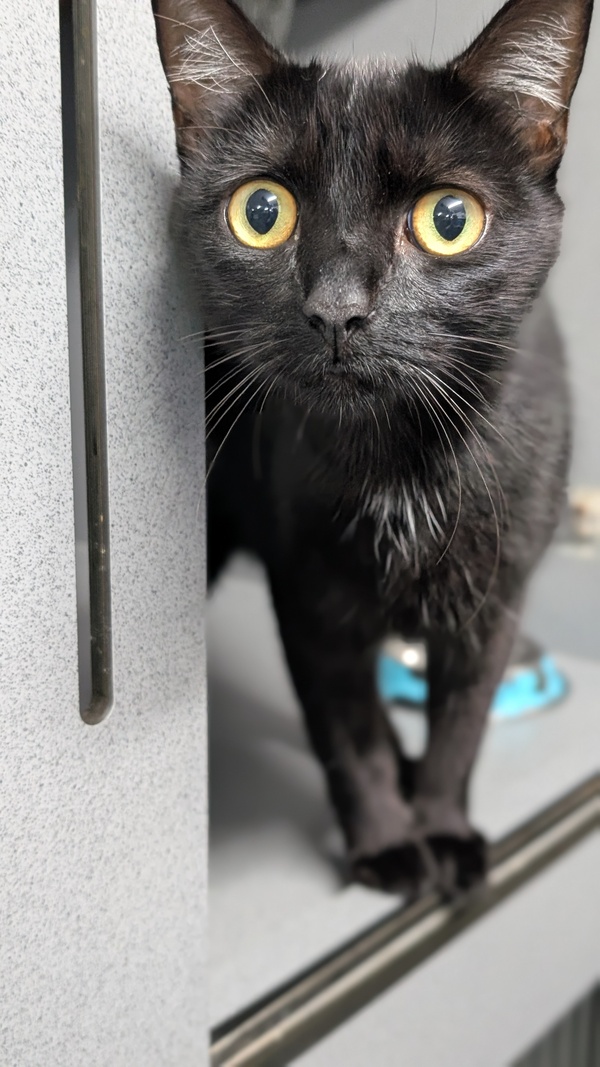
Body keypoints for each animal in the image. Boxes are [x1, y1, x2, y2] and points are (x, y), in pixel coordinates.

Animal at [152, 0, 593, 895]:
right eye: (262, 212)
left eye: (449, 220)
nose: (336, 310)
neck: (398, 460)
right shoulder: (306, 592)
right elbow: (346, 730)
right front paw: (389, 841)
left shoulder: (498, 596)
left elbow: (463, 723)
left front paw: (443, 829)